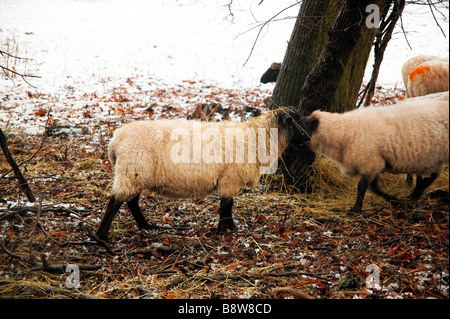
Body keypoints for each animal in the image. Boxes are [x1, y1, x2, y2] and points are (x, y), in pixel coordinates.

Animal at [96, 107, 312, 240]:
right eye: (295, 121)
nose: (309, 138)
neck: (256, 137)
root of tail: (115, 140)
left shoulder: (229, 178)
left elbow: (229, 204)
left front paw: (229, 226)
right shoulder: (230, 177)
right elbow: (226, 204)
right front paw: (225, 228)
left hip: (136, 173)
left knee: (131, 202)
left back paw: (145, 226)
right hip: (132, 171)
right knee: (115, 202)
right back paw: (102, 235)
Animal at [304, 99, 448, 215]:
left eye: (306, 124)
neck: (345, 132)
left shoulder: (370, 163)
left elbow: (362, 187)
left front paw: (355, 210)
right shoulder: (375, 163)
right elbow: (375, 188)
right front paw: (395, 200)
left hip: (432, 157)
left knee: (432, 176)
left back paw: (416, 194)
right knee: (431, 175)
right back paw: (415, 194)